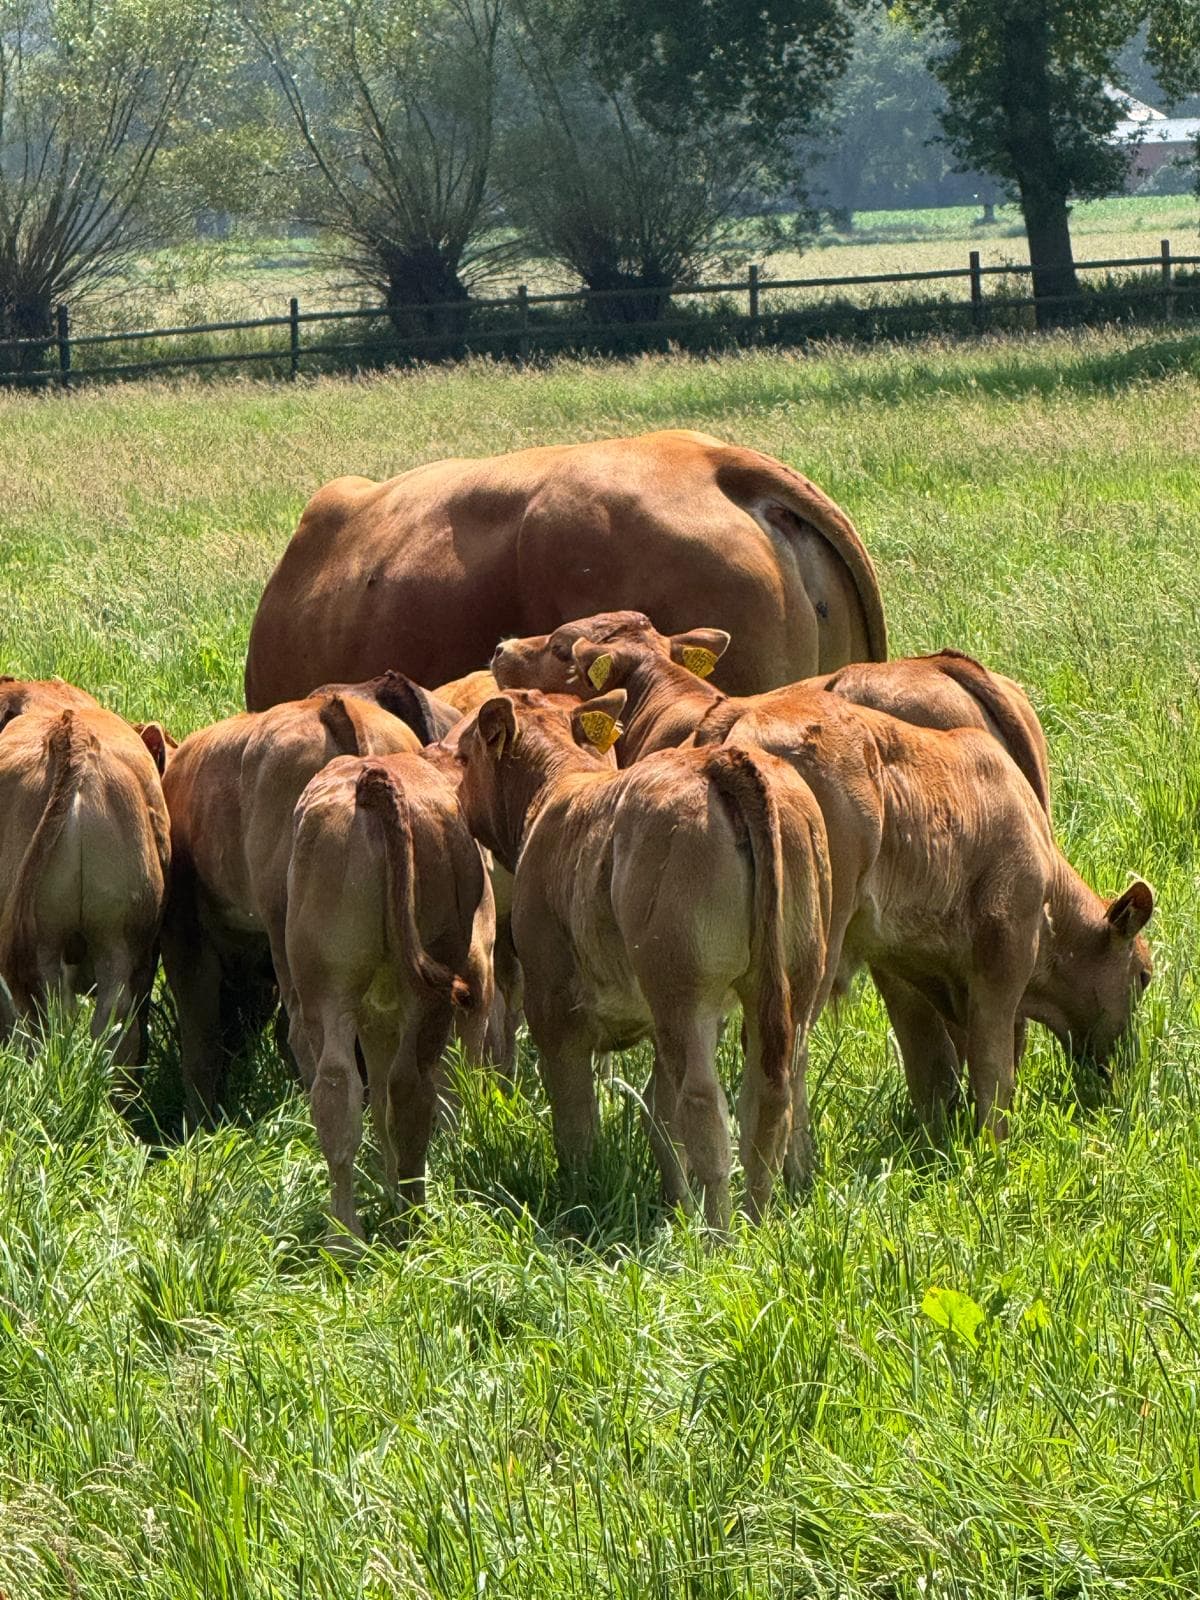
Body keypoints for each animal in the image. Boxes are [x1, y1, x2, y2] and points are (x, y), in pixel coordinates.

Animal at [286, 753, 494, 1240]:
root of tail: (373, 779)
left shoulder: (374, 1016)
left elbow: (375, 1104)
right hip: (428, 998)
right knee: (409, 1088)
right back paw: (413, 1216)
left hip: (327, 988)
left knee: (339, 1090)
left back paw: (346, 1237)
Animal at [455, 689, 833, 1231]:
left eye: (463, 756)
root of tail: (719, 759)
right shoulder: (655, 1024)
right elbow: (660, 1117)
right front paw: (676, 1206)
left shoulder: (553, 1012)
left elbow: (577, 1121)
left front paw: (582, 1198)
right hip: (792, 978)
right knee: (767, 1099)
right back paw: (757, 1224)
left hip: (685, 995)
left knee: (704, 1108)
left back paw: (720, 1237)